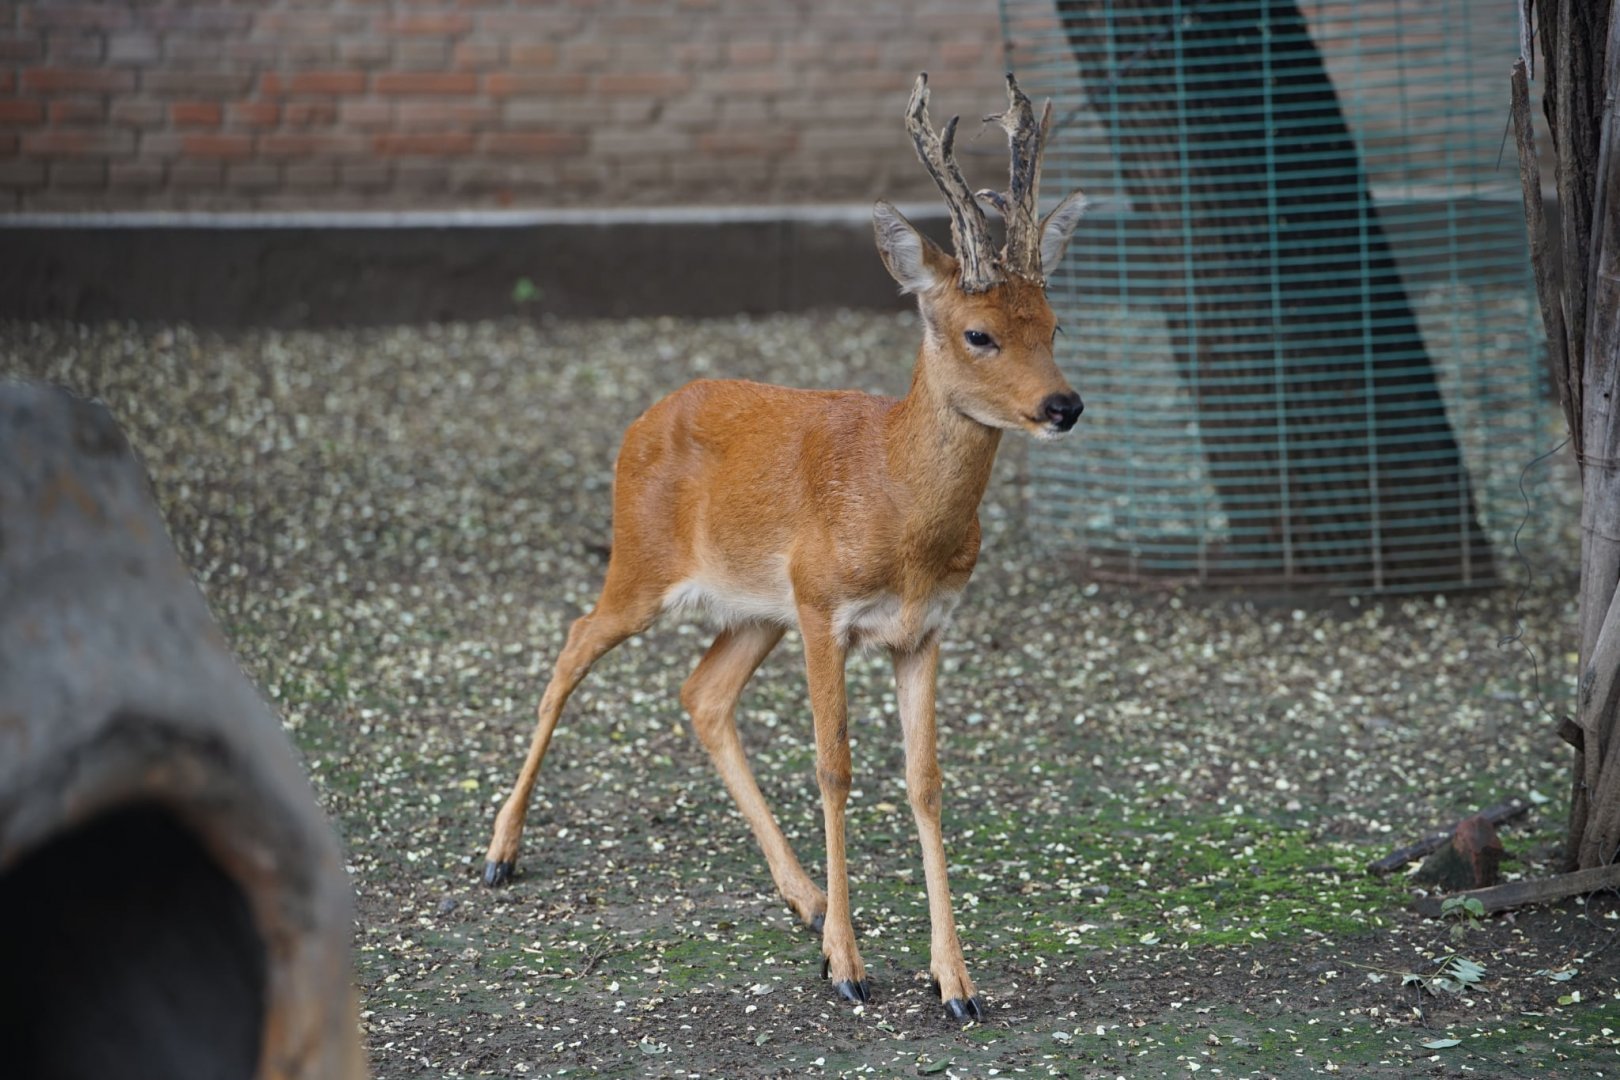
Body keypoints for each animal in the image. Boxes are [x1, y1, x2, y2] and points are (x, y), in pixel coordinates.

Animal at [482, 72, 1087, 1021]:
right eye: (979, 334)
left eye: (1055, 324)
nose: (1064, 405)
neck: (899, 505)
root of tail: (642, 420)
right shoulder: (824, 607)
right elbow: (835, 768)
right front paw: (850, 967)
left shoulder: (923, 629)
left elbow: (925, 780)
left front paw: (955, 982)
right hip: (644, 564)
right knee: (575, 642)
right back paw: (499, 855)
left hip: (754, 609)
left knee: (701, 694)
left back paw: (802, 898)